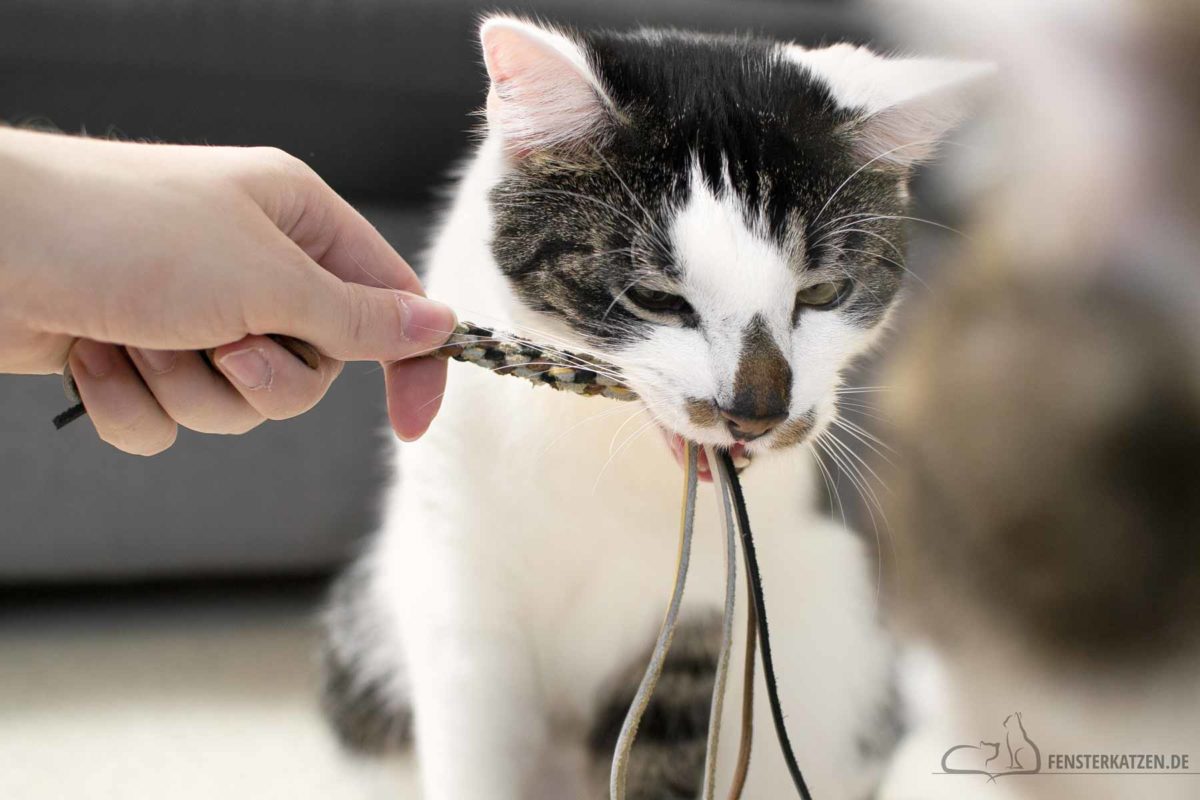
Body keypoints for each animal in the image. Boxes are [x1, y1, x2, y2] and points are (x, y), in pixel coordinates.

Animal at [324, 17, 979, 800]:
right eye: (656, 298)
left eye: (823, 293)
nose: (755, 410)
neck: (599, 453)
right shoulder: (458, 585)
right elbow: (474, 750)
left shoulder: (702, 623)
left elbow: (665, 748)